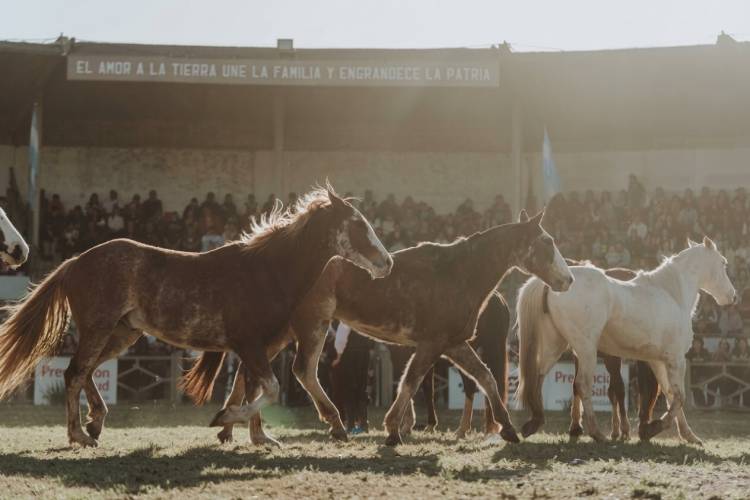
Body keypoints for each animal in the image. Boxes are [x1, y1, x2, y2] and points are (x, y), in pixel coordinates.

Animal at [0, 187, 392, 447]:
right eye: (358, 224)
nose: (387, 262)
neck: (267, 270)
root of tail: (75, 262)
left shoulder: (259, 347)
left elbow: (256, 388)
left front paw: (260, 437)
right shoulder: (249, 344)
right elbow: (270, 388)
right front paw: (226, 420)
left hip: (122, 334)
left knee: (86, 372)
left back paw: (96, 423)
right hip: (99, 329)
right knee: (74, 373)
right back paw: (80, 434)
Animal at [204, 208, 574, 446]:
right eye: (547, 241)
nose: (568, 279)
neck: (458, 272)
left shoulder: (453, 343)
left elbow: (484, 378)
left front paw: (508, 428)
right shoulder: (432, 344)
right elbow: (411, 381)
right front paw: (394, 429)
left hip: (284, 332)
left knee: (251, 372)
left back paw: (235, 426)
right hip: (310, 325)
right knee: (300, 371)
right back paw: (326, 424)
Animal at [517, 237, 735, 444]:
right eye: (723, 263)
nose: (732, 296)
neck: (671, 294)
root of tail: (557, 282)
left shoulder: (658, 360)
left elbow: (669, 393)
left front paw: (688, 435)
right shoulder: (676, 359)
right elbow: (679, 396)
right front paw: (654, 427)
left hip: (555, 345)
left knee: (538, 375)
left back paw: (534, 423)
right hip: (586, 350)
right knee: (582, 384)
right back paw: (596, 433)